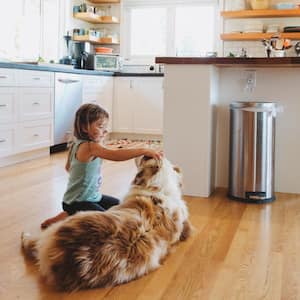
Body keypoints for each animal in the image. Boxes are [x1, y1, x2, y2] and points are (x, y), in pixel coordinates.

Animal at [21, 157, 191, 290]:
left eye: (144, 159)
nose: (142, 153)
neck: (161, 188)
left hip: (71, 219)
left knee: (32, 242)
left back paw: (26, 235)